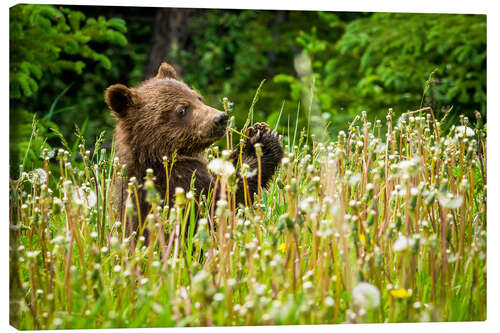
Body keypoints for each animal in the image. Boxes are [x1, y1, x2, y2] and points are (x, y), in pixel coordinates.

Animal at [105, 62, 284, 233]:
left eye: (198, 97)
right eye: (182, 109)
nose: (220, 117)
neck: (157, 155)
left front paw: (254, 133)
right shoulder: (178, 186)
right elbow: (223, 201)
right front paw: (261, 144)